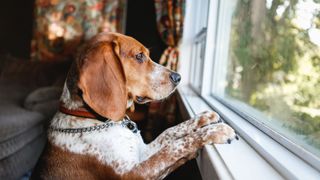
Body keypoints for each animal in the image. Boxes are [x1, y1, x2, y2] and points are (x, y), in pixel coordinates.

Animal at [32, 32, 238, 180]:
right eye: (139, 56)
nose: (178, 77)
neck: (93, 118)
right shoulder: (135, 173)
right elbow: (174, 148)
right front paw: (215, 132)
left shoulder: (143, 152)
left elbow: (170, 133)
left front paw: (204, 118)